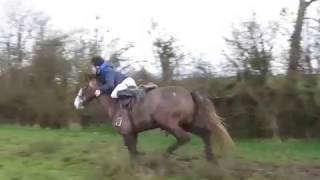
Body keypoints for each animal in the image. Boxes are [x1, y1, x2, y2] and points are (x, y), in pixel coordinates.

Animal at [74, 75, 235, 164]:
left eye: (84, 87)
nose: (76, 103)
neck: (114, 103)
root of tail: (189, 93)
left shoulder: (127, 133)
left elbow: (132, 152)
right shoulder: (133, 133)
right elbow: (133, 151)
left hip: (170, 124)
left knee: (184, 138)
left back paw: (164, 155)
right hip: (187, 123)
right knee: (205, 133)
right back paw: (211, 160)